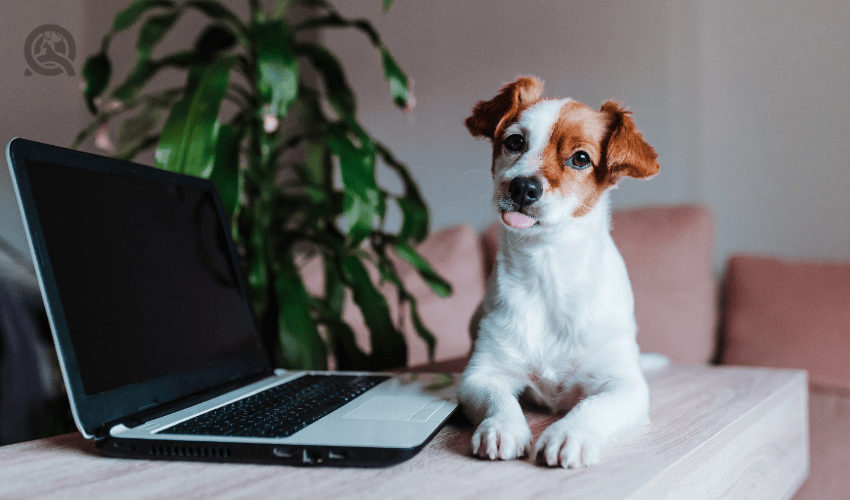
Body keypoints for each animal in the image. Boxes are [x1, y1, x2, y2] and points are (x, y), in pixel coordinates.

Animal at [458, 76, 664, 466]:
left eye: (580, 158)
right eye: (515, 141)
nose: (523, 186)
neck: (548, 268)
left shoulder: (625, 386)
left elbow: (594, 406)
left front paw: (570, 433)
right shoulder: (482, 374)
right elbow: (498, 399)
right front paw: (502, 426)